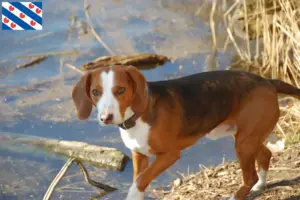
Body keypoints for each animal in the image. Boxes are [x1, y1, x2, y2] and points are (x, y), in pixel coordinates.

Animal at [71, 65, 298, 199]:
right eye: (95, 92)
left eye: (120, 90)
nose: (106, 118)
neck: (138, 116)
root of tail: (267, 81)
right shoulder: (139, 154)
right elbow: (139, 179)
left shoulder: (170, 155)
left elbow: (139, 181)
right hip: (246, 137)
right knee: (265, 155)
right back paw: (260, 185)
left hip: (244, 143)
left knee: (249, 176)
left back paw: (240, 193)